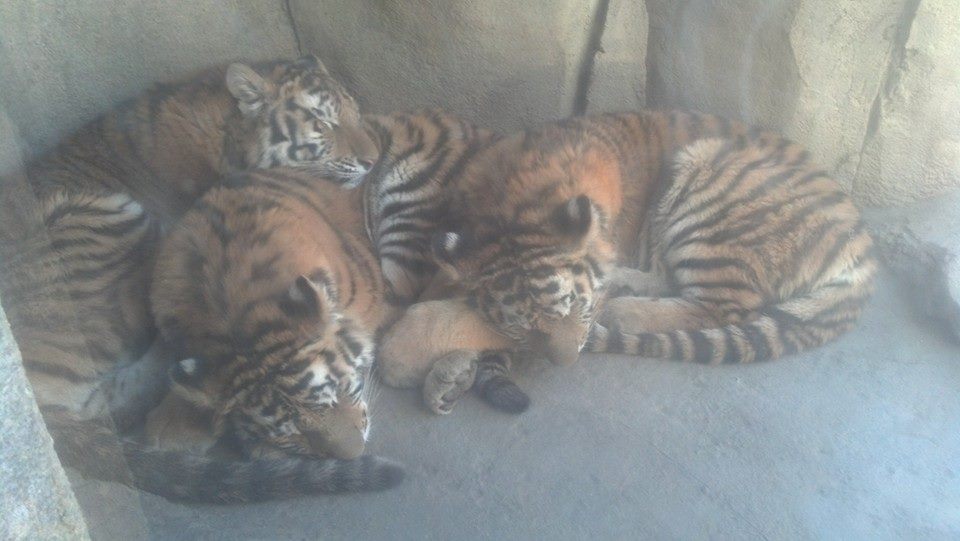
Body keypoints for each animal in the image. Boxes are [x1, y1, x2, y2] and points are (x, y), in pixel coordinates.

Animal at [403, 111, 874, 404]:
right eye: (521, 326)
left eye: (573, 306)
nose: (567, 362)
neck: (510, 210)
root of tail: (863, 246)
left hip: (708, 179)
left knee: (721, 308)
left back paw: (625, 308)